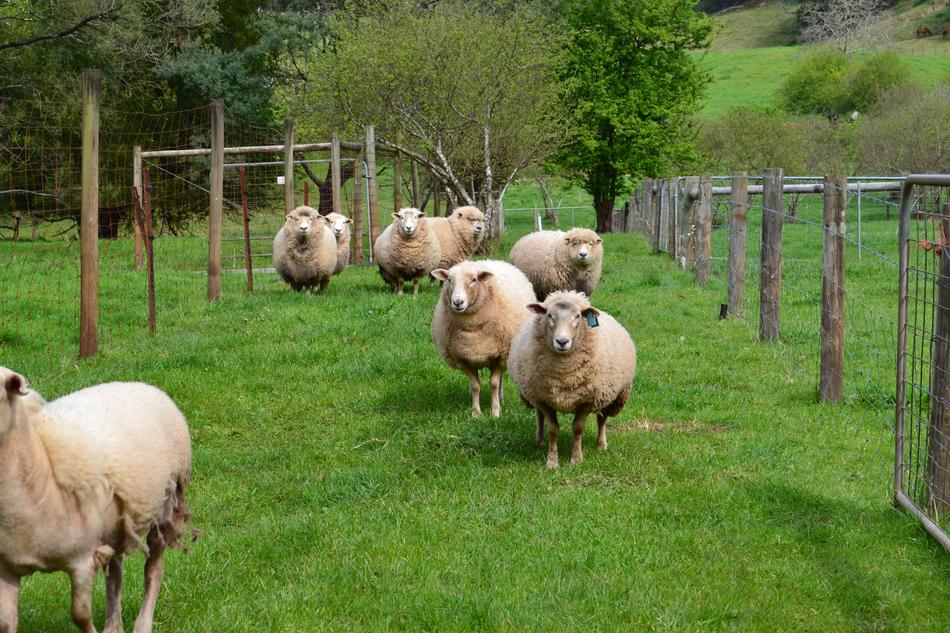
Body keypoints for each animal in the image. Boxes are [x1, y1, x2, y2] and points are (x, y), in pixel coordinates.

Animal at [0, 367, 193, 633]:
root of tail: (140, 385)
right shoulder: (6, 567)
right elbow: (6, 622)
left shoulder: (82, 560)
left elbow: (80, 614)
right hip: (117, 526)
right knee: (116, 574)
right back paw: (114, 626)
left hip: (165, 504)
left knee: (153, 569)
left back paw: (142, 624)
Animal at [430, 260, 537, 417]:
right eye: (449, 280)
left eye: (474, 280)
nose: (458, 302)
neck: (472, 327)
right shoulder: (463, 360)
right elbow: (475, 386)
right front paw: (476, 413)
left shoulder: (502, 356)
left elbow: (494, 383)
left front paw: (495, 412)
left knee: (500, 380)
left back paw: (500, 398)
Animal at [507, 291, 636, 468]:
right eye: (549, 315)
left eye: (577, 316)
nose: (562, 341)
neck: (564, 375)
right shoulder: (544, 399)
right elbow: (553, 429)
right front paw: (552, 461)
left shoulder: (587, 400)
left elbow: (578, 428)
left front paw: (576, 459)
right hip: (534, 394)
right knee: (539, 416)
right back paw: (539, 441)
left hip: (611, 396)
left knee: (602, 419)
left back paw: (601, 444)